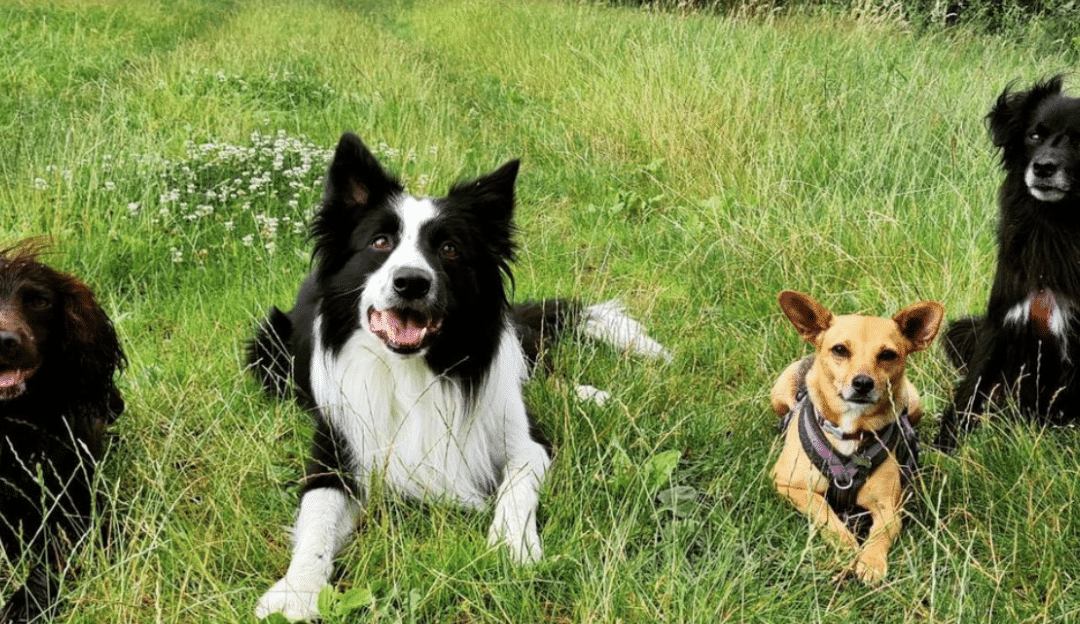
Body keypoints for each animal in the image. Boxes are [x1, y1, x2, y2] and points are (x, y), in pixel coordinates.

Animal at [249, 131, 669, 617]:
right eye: (380, 242)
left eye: (448, 249)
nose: (411, 282)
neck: (412, 372)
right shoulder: (334, 452)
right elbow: (316, 519)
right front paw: (297, 590)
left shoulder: (523, 440)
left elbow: (515, 489)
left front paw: (511, 546)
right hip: (266, 347)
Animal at [773, 289, 941, 578]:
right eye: (840, 349)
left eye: (887, 354)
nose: (863, 383)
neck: (850, 432)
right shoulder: (788, 484)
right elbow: (824, 512)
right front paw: (847, 545)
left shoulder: (889, 505)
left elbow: (883, 531)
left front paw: (871, 561)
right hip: (777, 395)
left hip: (914, 401)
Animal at [937, 75, 1080, 449]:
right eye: (1034, 135)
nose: (1043, 167)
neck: (1056, 225)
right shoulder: (1002, 320)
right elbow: (971, 390)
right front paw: (942, 448)